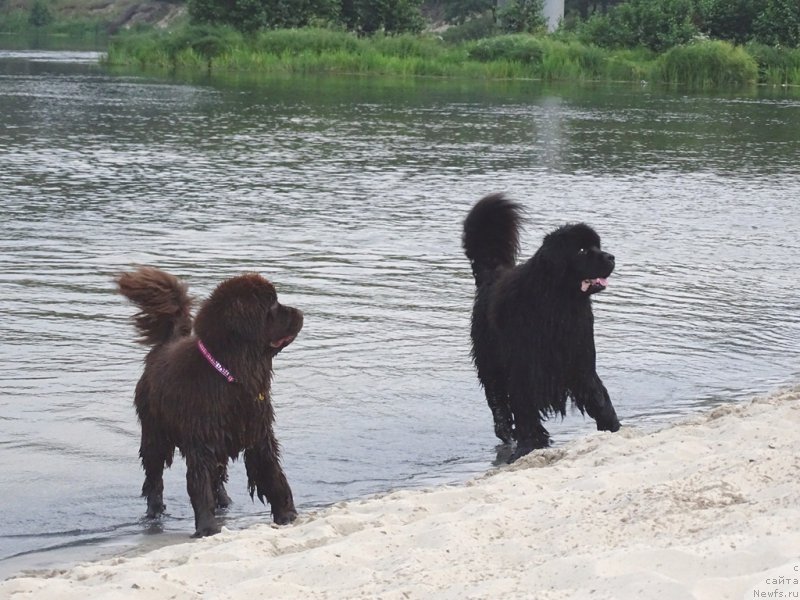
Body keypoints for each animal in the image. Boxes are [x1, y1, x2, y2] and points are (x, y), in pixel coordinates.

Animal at [117, 268, 304, 540]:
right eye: (272, 305)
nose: (300, 312)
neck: (232, 375)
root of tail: (164, 345)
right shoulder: (201, 442)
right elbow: (200, 484)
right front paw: (207, 528)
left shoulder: (258, 434)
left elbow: (272, 473)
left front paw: (287, 514)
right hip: (154, 434)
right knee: (154, 477)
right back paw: (154, 513)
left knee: (218, 477)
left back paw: (224, 502)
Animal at [462, 195, 620, 462]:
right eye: (582, 250)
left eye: (598, 246)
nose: (611, 257)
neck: (558, 303)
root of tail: (492, 274)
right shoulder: (524, 367)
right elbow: (524, 408)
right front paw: (529, 446)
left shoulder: (580, 361)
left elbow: (599, 396)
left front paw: (613, 427)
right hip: (490, 360)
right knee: (497, 400)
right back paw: (506, 434)